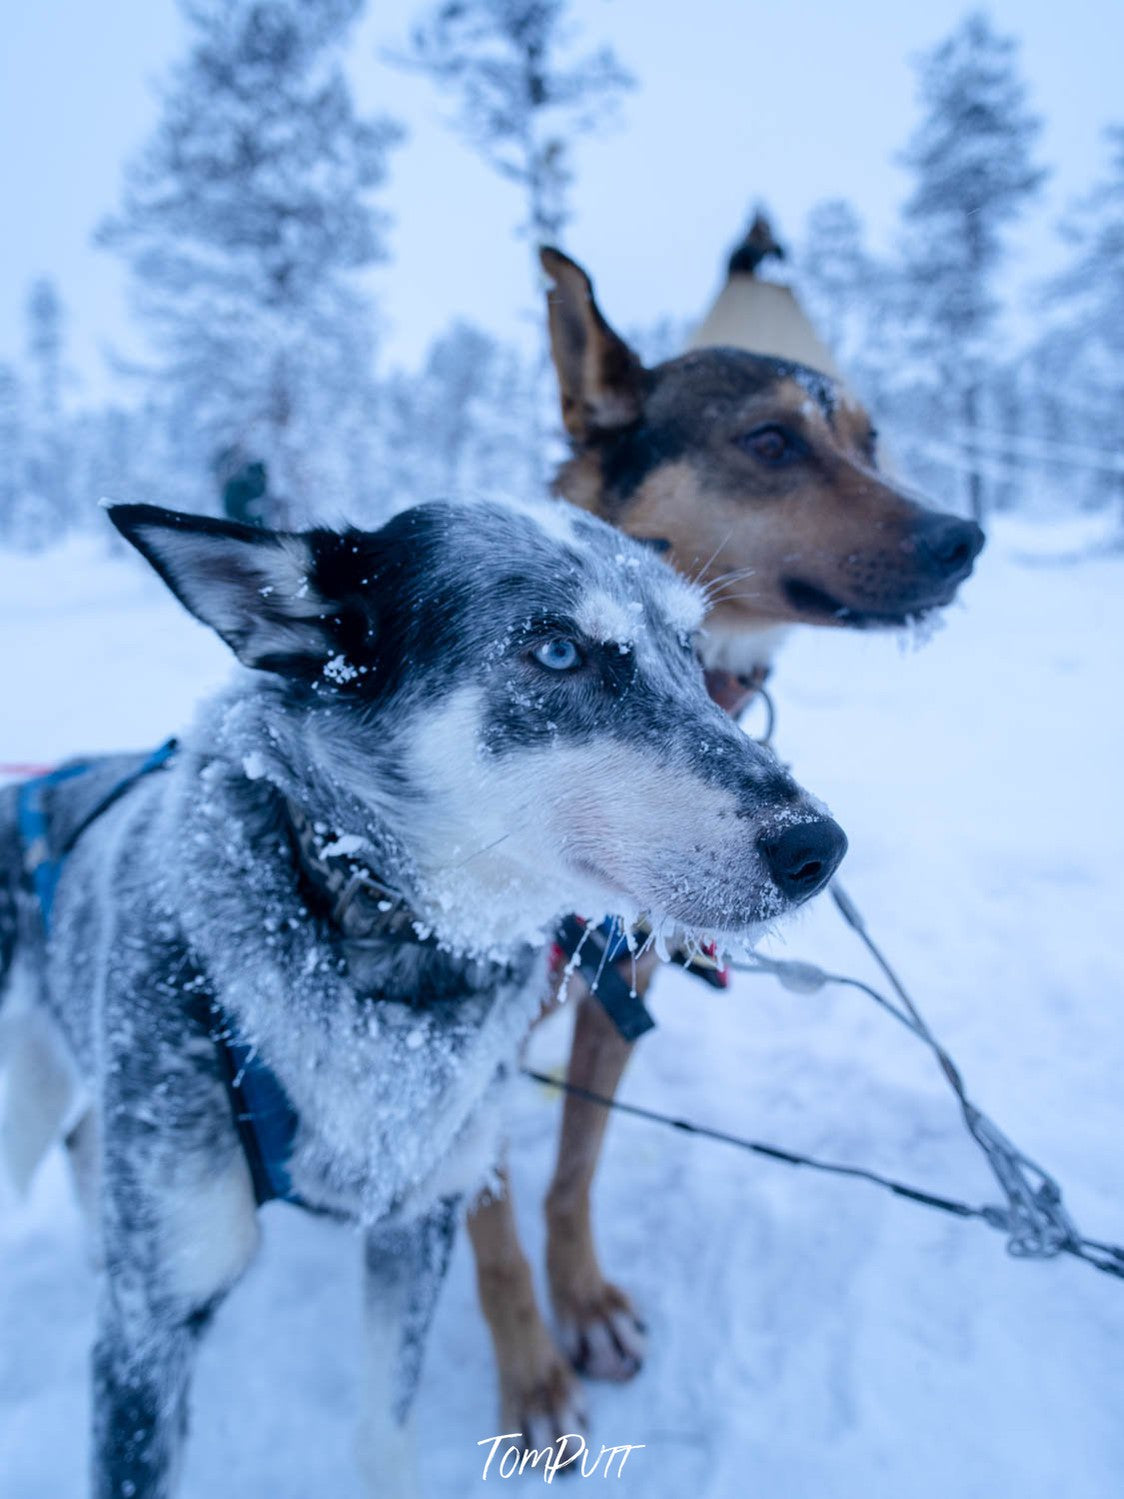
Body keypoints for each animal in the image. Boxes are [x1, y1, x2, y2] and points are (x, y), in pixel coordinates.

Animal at [461, 230, 983, 1439]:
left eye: (868, 439)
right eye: (769, 441)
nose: (966, 536)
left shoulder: (623, 993)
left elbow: (570, 1177)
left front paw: (587, 1303)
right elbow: (493, 1232)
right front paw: (533, 1380)